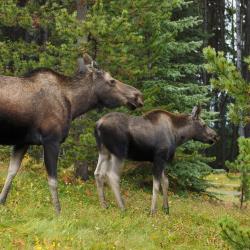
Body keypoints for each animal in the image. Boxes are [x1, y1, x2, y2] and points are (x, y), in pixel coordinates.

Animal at [0, 54, 143, 213]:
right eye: (111, 80)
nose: (137, 95)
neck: (74, 105)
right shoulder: (51, 140)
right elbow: (53, 180)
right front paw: (58, 212)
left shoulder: (23, 141)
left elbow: (12, 171)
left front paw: (2, 202)